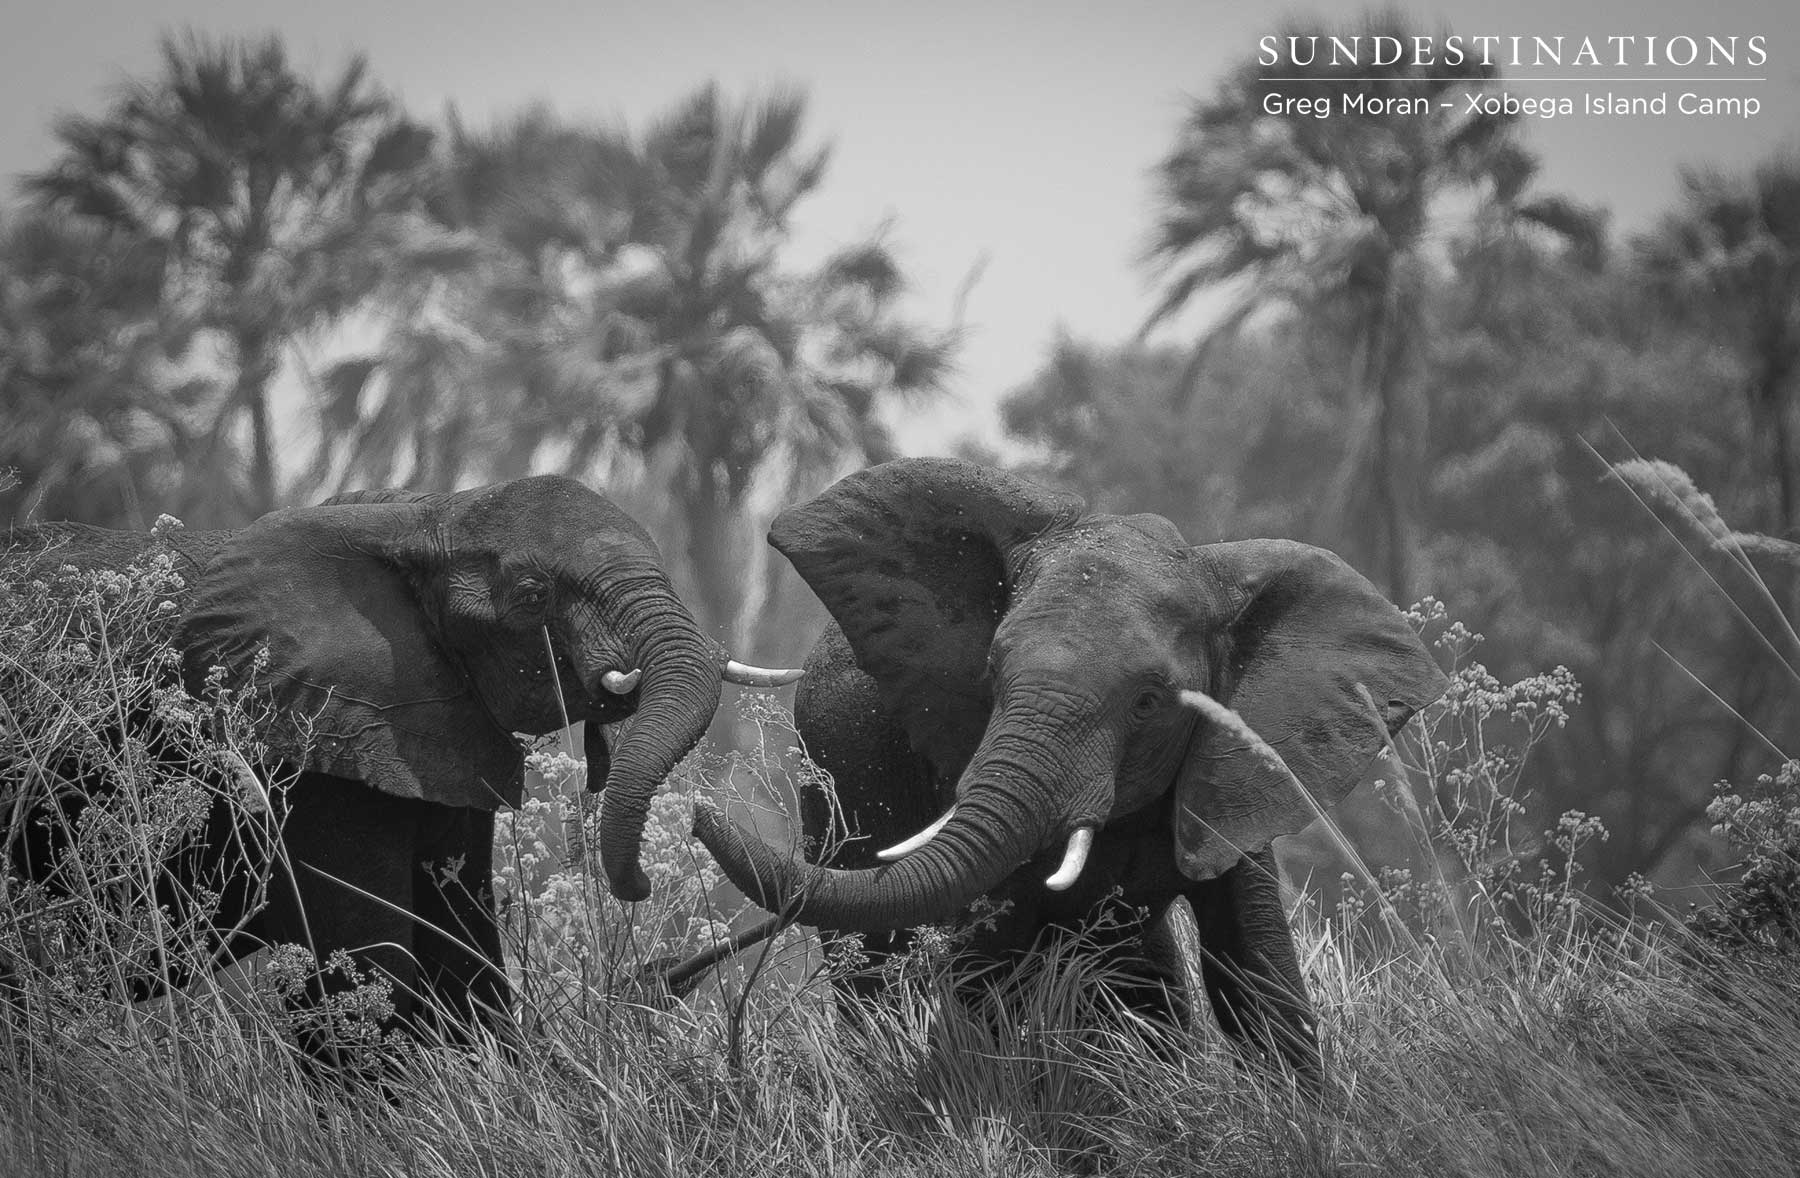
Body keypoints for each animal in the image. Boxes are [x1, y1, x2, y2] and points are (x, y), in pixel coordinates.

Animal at [2, 474, 797, 1046]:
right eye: (534, 594)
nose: (642, 882)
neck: (421, 517)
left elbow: (464, 957)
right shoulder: (311, 749)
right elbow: (367, 972)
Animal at [690, 457, 1446, 1078]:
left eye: (1148, 702)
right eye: (991, 674)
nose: (700, 813)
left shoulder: (1238, 760)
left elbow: (1252, 968)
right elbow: (984, 973)